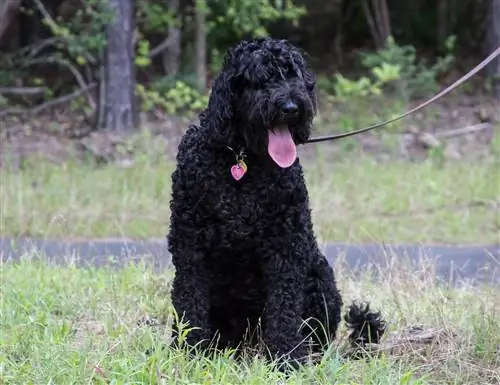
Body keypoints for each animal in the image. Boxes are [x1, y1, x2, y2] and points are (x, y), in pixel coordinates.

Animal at [166, 37, 384, 368]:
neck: (242, 159)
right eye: (261, 79)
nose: (292, 107)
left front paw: (286, 357)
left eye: (295, 76)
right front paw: (190, 351)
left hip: (320, 277)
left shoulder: (286, 244)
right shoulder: (190, 247)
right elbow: (190, 303)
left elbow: (284, 307)